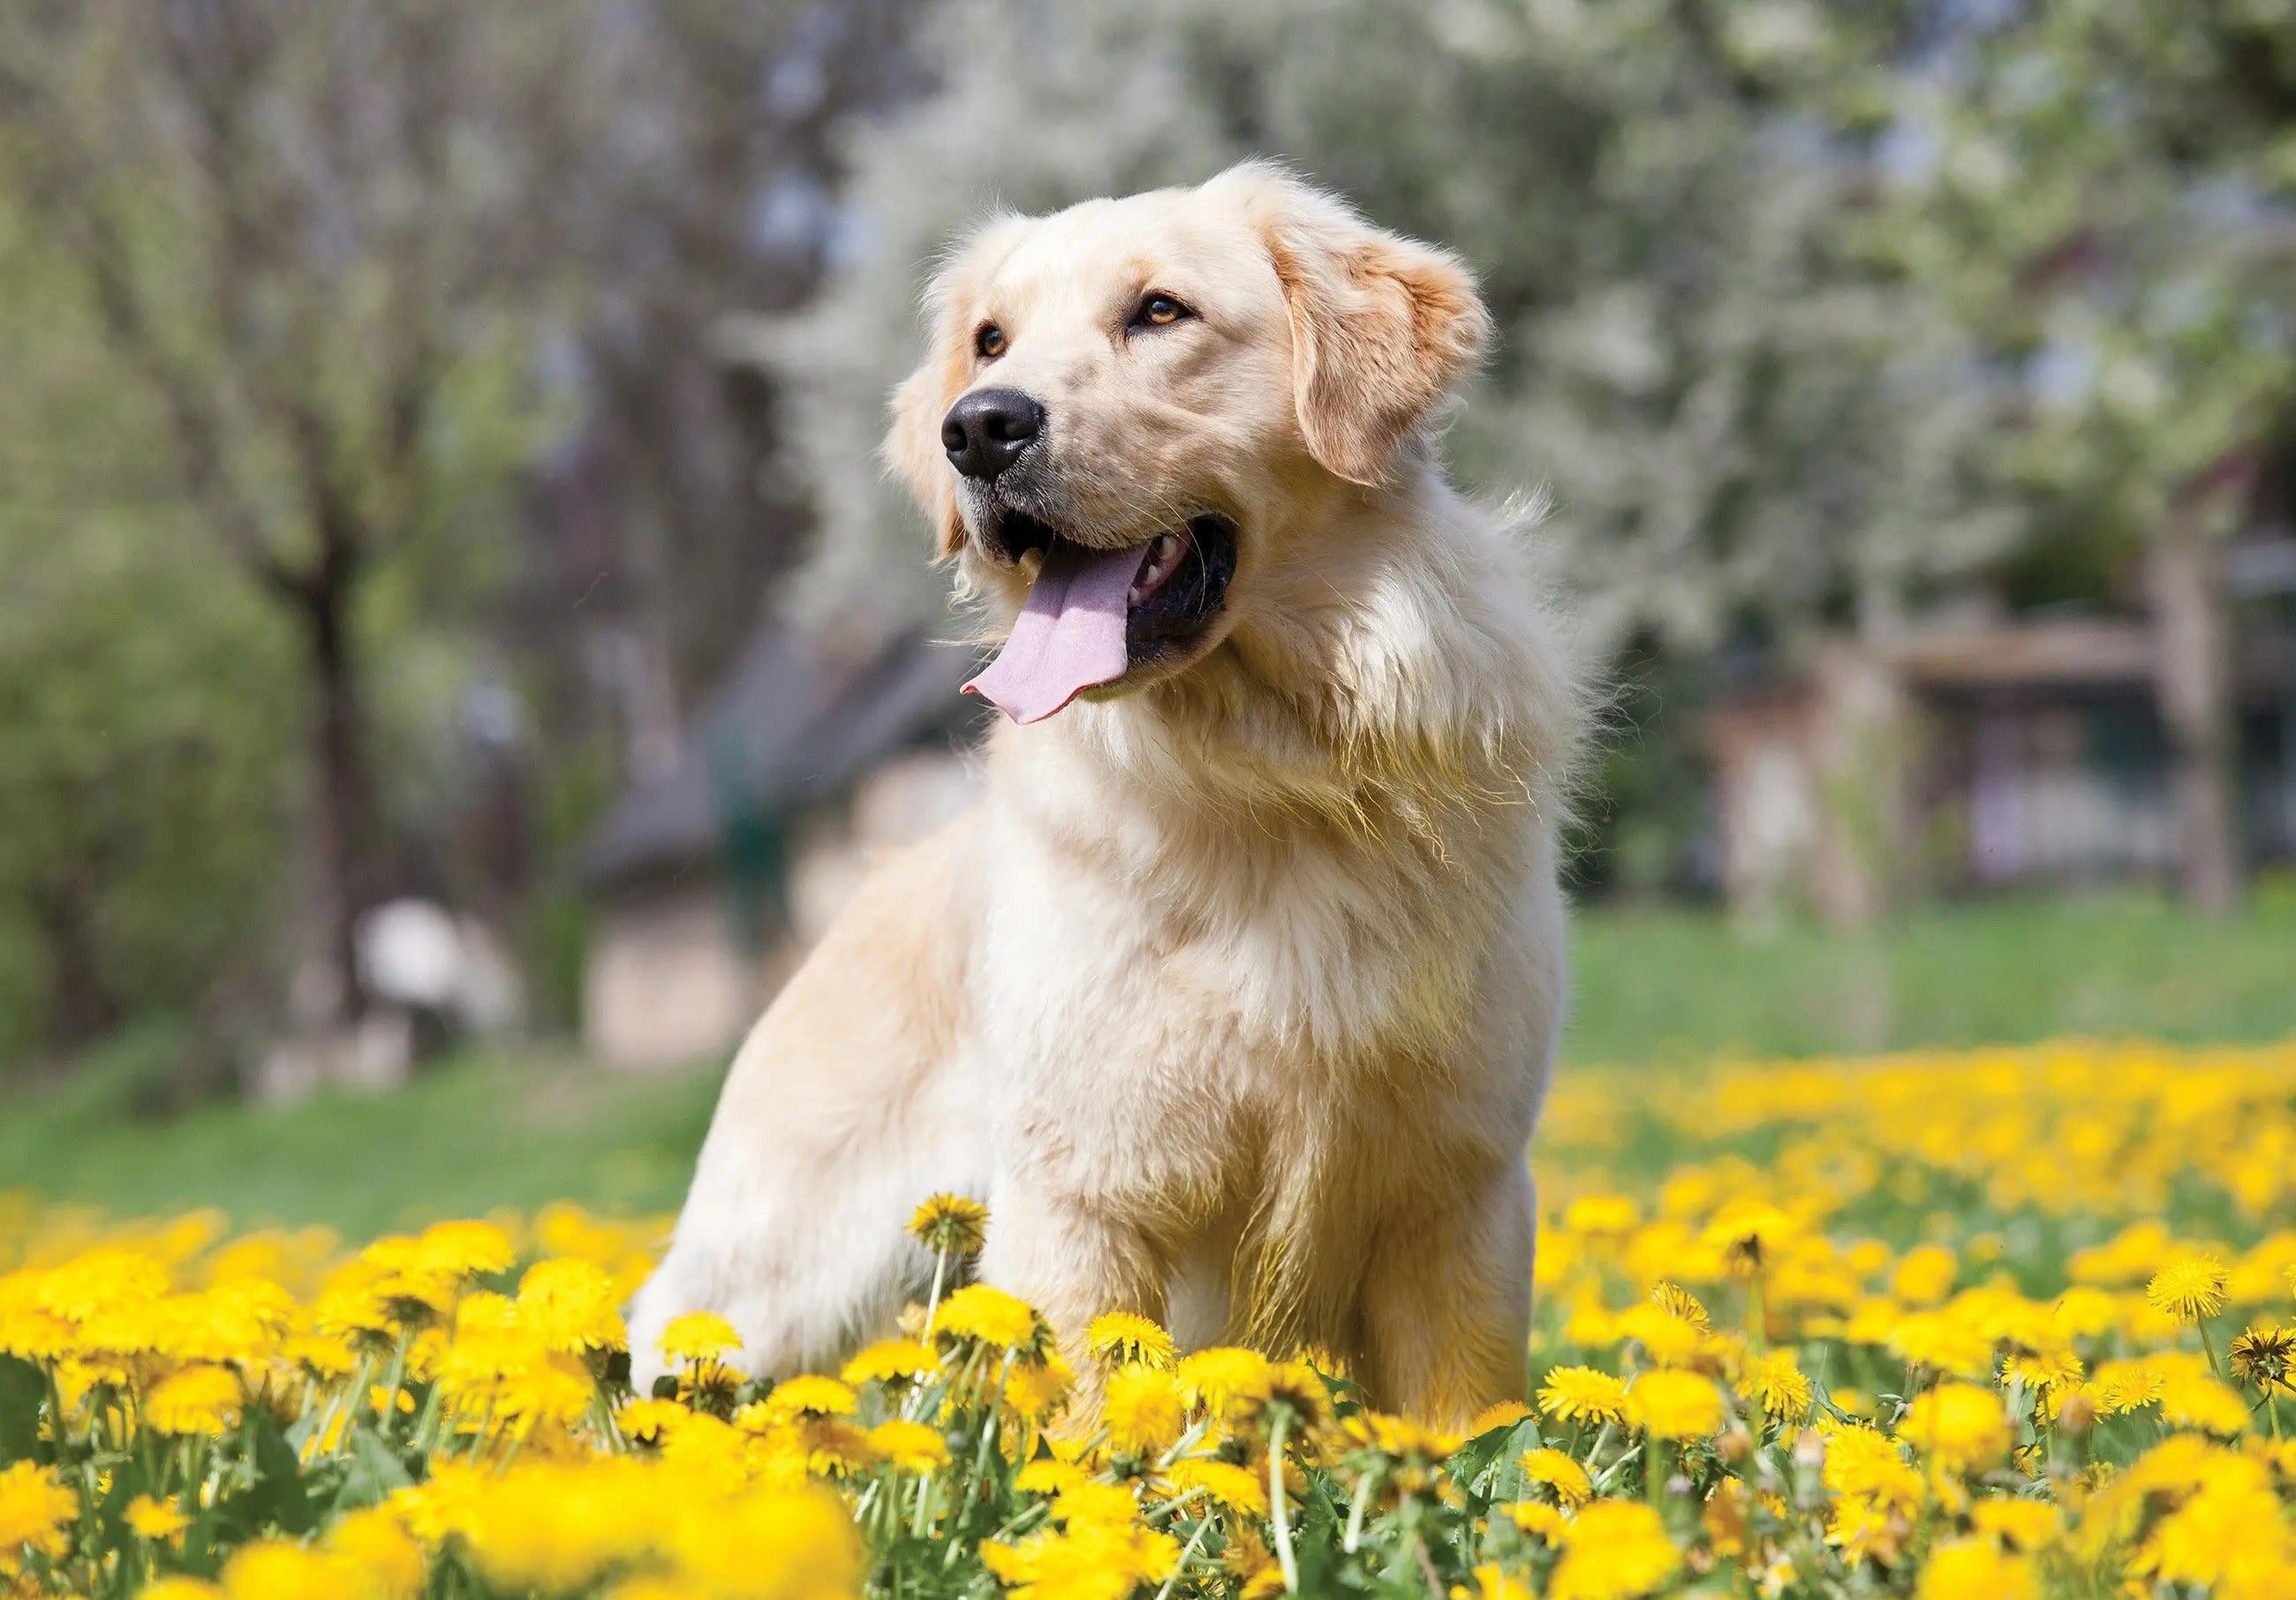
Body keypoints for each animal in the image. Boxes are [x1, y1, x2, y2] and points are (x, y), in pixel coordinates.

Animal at [633, 165, 1597, 1423]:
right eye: (990, 340)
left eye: (1159, 312)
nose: (976, 426)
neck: (1266, 766)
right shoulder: (1084, 1199)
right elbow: (1095, 1423)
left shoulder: (1458, 1192)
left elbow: (1463, 1426)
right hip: (777, 1267)